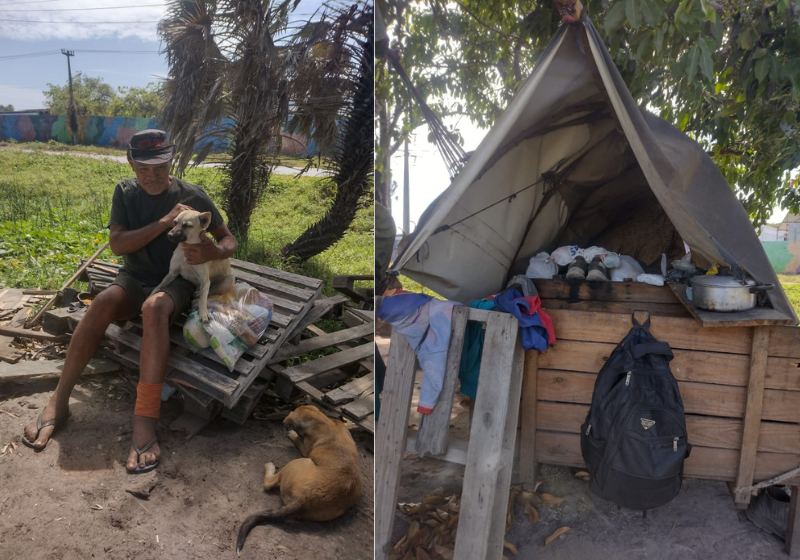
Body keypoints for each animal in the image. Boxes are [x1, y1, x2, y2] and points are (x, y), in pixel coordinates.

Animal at [236, 404, 364, 552]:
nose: (284, 423)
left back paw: (269, 466)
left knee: (268, 483)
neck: (324, 421)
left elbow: (298, 440)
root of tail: (301, 500)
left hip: (297, 462)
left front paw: (293, 434)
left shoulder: (305, 451)